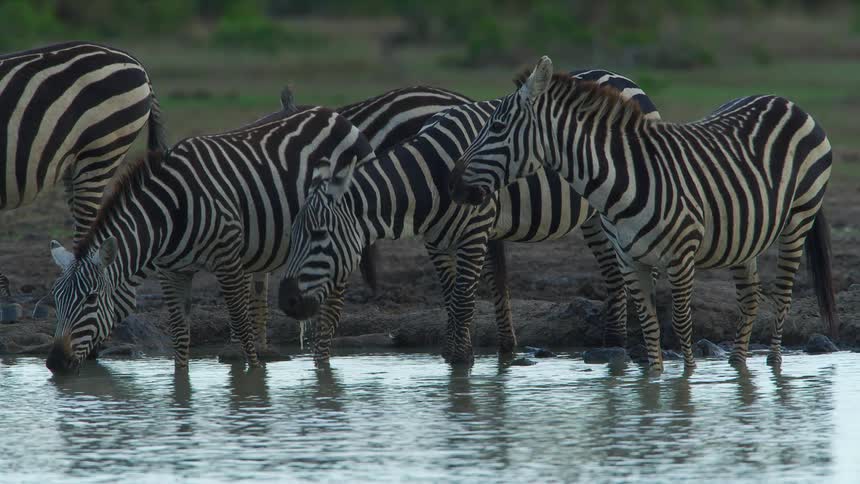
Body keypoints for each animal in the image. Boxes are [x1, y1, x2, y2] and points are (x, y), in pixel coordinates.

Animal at [45, 106, 377, 374]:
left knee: (331, 311)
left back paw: (323, 367)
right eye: (56, 300)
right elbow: (180, 333)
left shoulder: (227, 259)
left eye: (91, 299)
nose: (55, 363)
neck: (168, 215)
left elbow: (241, 324)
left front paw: (254, 376)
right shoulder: (171, 271)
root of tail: (334, 114)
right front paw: (181, 385)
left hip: (337, 243)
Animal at [278, 69, 662, 364]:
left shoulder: (474, 233)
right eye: (292, 235)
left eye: (318, 235)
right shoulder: (434, 241)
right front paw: (455, 357)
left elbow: (463, 303)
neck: (431, 177)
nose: (287, 301)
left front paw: (462, 365)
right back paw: (611, 347)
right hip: (594, 215)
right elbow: (451, 301)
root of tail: (616, 75)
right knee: (612, 274)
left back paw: (625, 348)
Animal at [449, 56, 837, 373]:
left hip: (799, 218)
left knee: (782, 295)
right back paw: (738, 363)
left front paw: (686, 382)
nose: (452, 183)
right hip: (746, 235)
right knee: (750, 299)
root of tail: (785, 100)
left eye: (497, 127)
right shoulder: (630, 260)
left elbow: (679, 324)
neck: (624, 180)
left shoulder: (682, 257)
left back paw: (774, 362)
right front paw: (655, 383)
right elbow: (650, 328)